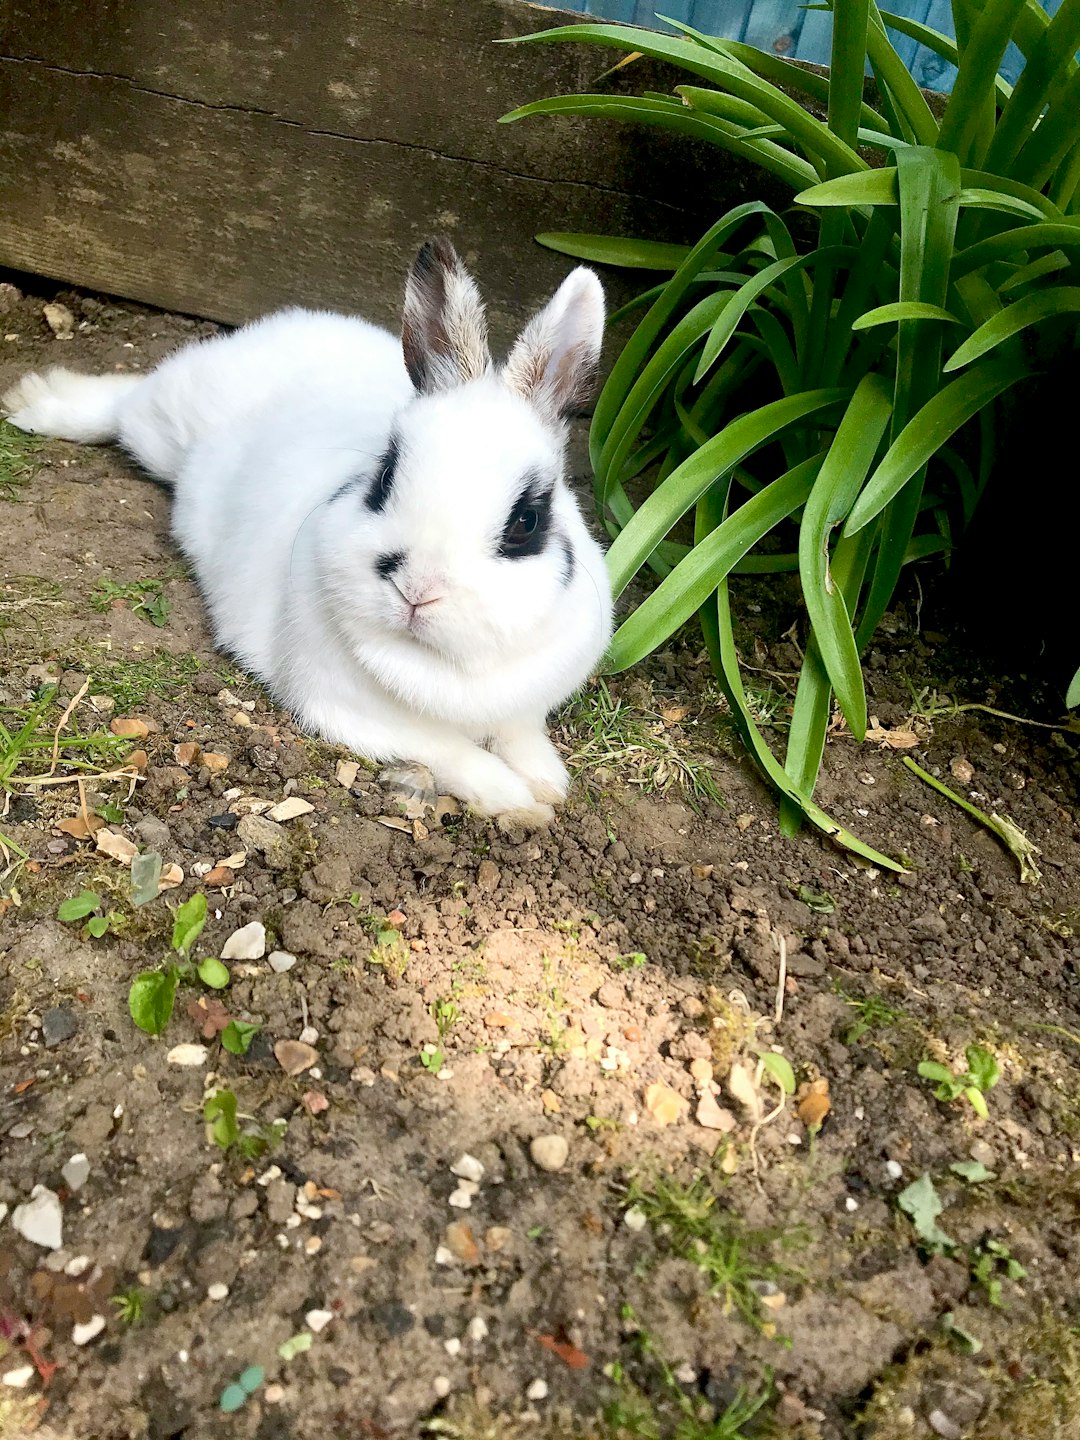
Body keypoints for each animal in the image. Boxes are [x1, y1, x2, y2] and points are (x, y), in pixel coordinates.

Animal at [4, 241, 616, 829]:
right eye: (384, 476)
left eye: (526, 522)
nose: (416, 590)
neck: (443, 667)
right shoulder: (358, 714)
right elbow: (453, 754)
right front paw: (515, 798)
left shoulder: (524, 707)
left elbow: (522, 736)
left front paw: (547, 782)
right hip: (164, 424)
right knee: (123, 404)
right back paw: (34, 402)